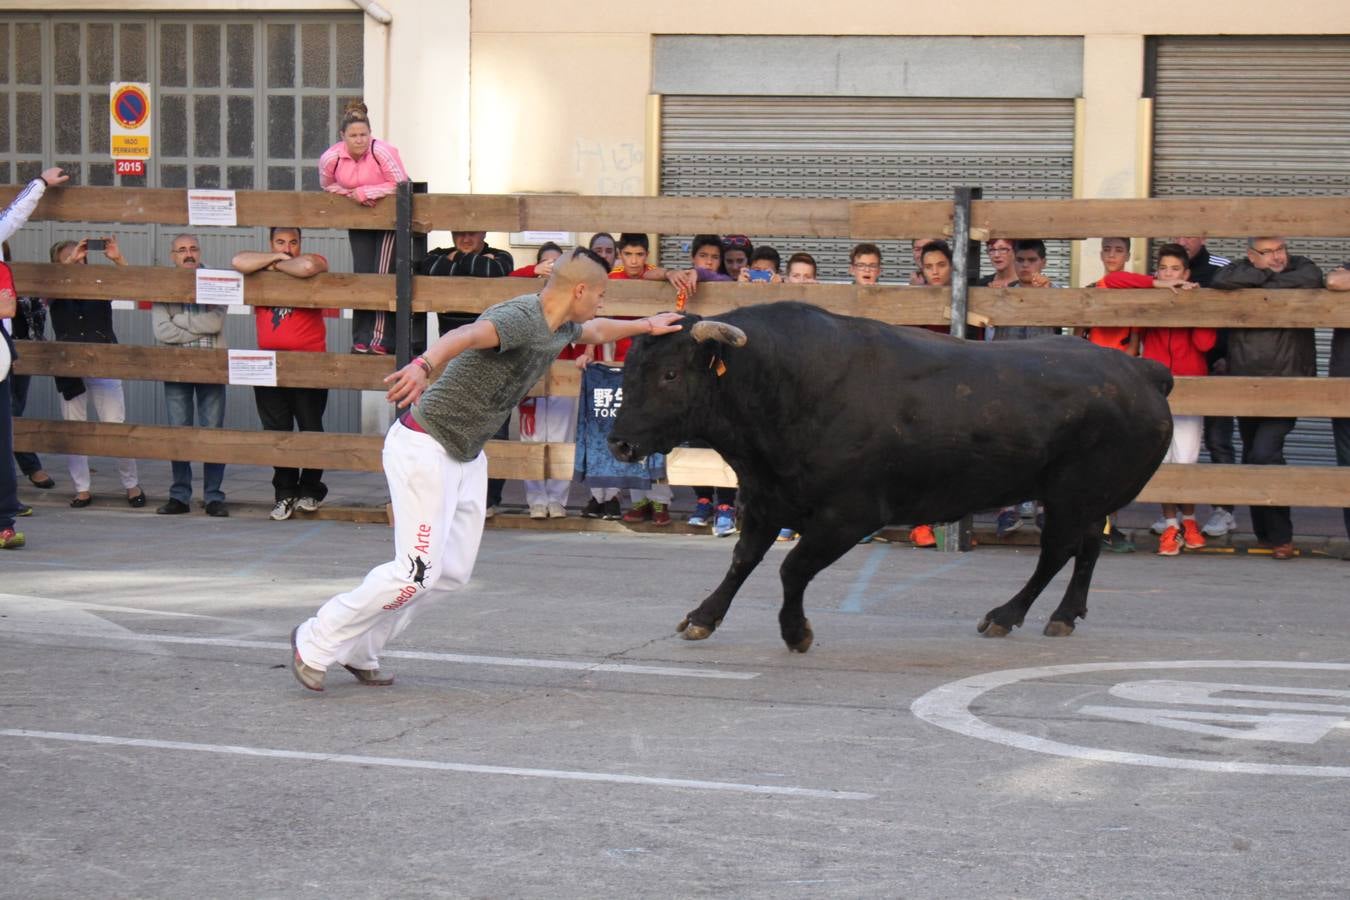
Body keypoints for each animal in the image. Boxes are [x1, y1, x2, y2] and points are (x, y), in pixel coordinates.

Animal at [607, 300, 1177, 647]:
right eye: (629, 371)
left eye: (671, 374)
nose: (619, 442)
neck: (788, 385)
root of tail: (1140, 372)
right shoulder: (767, 498)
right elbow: (743, 560)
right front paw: (703, 618)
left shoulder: (849, 515)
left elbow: (793, 568)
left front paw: (795, 631)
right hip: (1088, 497)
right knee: (1088, 546)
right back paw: (1063, 615)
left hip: (1070, 495)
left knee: (1058, 551)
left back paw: (1004, 615)